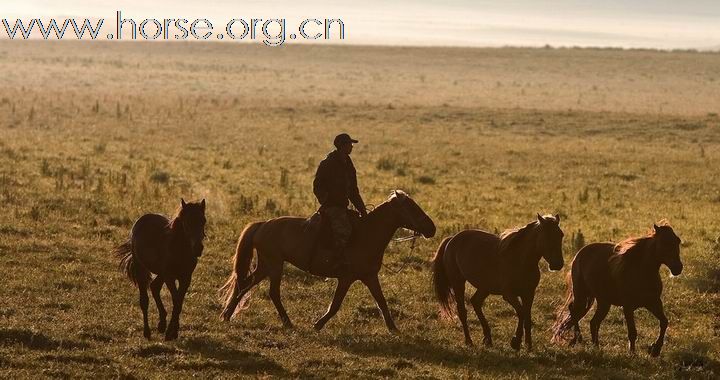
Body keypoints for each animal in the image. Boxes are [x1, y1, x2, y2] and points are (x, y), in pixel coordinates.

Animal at [112, 199, 207, 342]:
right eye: (186, 222)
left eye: (203, 221)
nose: (198, 248)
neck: (179, 250)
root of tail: (141, 220)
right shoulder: (170, 277)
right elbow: (176, 301)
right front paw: (170, 333)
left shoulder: (186, 278)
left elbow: (179, 303)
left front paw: (173, 332)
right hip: (142, 269)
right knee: (144, 300)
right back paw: (147, 332)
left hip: (161, 274)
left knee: (154, 287)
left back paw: (161, 324)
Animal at [218, 191, 434, 332]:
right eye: (412, 208)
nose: (432, 228)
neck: (366, 234)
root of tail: (262, 225)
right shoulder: (346, 278)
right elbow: (335, 305)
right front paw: (318, 324)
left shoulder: (370, 276)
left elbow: (381, 301)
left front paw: (393, 328)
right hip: (274, 265)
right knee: (272, 292)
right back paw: (287, 322)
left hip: (265, 266)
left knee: (244, 285)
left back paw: (227, 316)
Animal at [430, 214, 564, 350]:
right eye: (546, 236)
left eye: (561, 235)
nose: (558, 264)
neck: (520, 260)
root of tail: (452, 239)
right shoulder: (509, 295)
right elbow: (521, 313)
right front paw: (516, 342)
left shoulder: (529, 294)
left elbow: (527, 317)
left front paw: (528, 345)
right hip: (458, 283)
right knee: (462, 311)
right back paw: (469, 342)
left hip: (484, 287)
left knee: (476, 302)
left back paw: (488, 339)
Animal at [552, 220, 680, 356]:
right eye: (665, 243)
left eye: (678, 241)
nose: (678, 268)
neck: (641, 272)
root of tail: (580, 253)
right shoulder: (628, 307)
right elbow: (632, 332)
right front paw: (633, 354)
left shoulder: (653, 302)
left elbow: (664, 322)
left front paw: (655, 349)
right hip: (581, 293)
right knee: (574, 311)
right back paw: (578, 338)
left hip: (604, 302)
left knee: (593, 322)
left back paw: (596, 346)